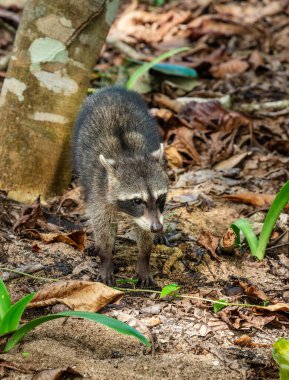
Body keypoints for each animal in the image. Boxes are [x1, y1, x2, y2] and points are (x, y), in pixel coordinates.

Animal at [72, 87, 169, 286]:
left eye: (160, 198)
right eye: (137, 201)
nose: (157, 227)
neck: (129, 155)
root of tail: (111, 89)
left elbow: (144, 232)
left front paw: (144, 258)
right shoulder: (99, 190)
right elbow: (102, 223)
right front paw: (106, 256)